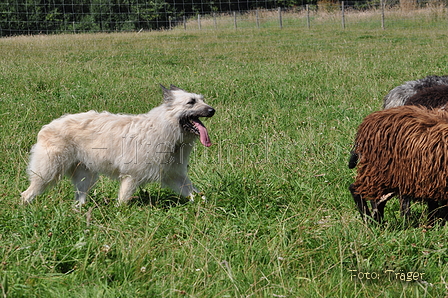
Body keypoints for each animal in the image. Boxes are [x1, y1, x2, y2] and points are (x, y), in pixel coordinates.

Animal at [21, 84, 215, 205]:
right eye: (191, 102)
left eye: (202, 99)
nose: (213, 110)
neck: (165, 126)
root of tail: (48, 126)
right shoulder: (131, 177)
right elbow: (122, 202)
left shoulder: (175, 175)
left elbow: (196, 193)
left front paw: (206, 205)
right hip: (47, 173)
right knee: (26, 194)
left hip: (85, 177)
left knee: (79, 199)